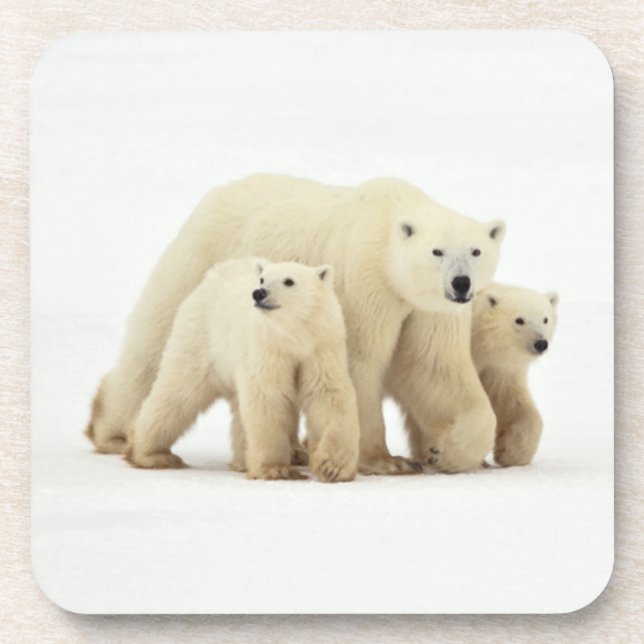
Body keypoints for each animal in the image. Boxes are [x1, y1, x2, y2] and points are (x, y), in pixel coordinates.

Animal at [125, 257, 360, 482]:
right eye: (262, 279)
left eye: (289, 281)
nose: (259, 293)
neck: (293, 336)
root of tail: (215, 272)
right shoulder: (267, 348)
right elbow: (267, 398)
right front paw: (276, 469)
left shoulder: (321, 348)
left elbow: (327, 396)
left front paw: (333, 468)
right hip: (202, 339)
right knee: (177, 393)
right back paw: (152, 454)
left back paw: (243, 461)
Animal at [470, 283, 559, 467]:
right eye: (519, 320)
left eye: (545, 319)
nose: (540, 343)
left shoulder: (500, 368)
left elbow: (509, 400)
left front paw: (510, 453)